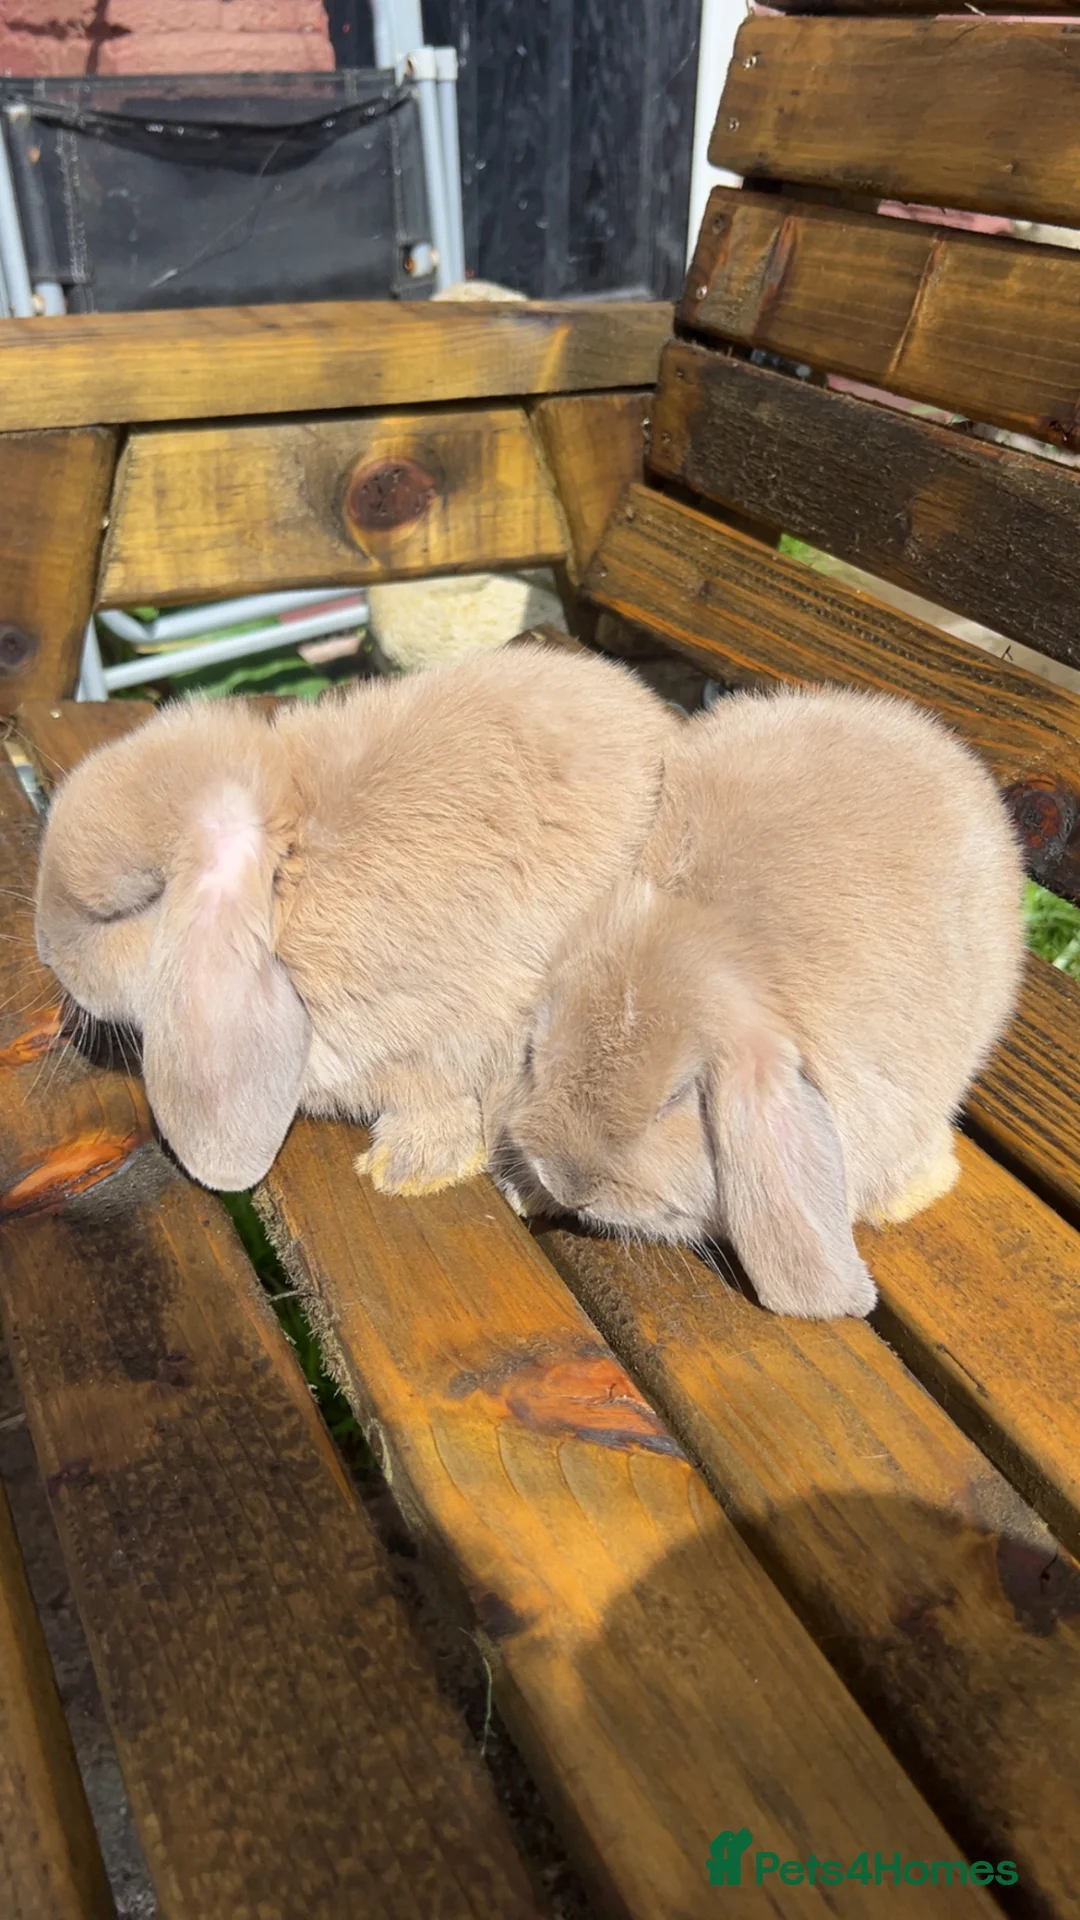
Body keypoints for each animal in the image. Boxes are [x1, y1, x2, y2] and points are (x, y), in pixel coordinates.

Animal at [34, 642, 678, 1194]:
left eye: (127, 910)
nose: (48, 956)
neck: (293, 875)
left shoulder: (444, 1025)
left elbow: (438, 1096)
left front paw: (406, 1170)